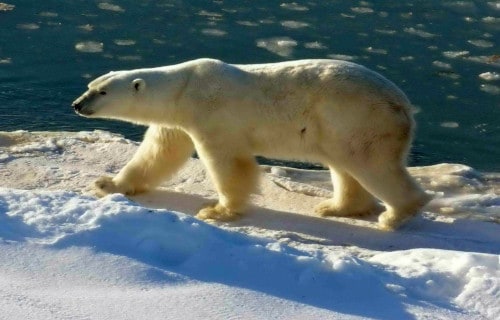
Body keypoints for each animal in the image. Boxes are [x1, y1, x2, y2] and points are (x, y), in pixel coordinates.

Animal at [72, 58, 432, 230]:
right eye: (90, 85)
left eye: (102, 91)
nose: (77, 104)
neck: (183, 88)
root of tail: (404, 105)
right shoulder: (177, 121)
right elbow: (158, 153)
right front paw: (108, 184)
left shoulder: (211, 114)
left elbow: (228, 163)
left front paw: (218, 210)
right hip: (338, 128)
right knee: (344, 166)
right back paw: (337, 207)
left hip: (359, 120)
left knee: (370, 164)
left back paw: (396, 215)